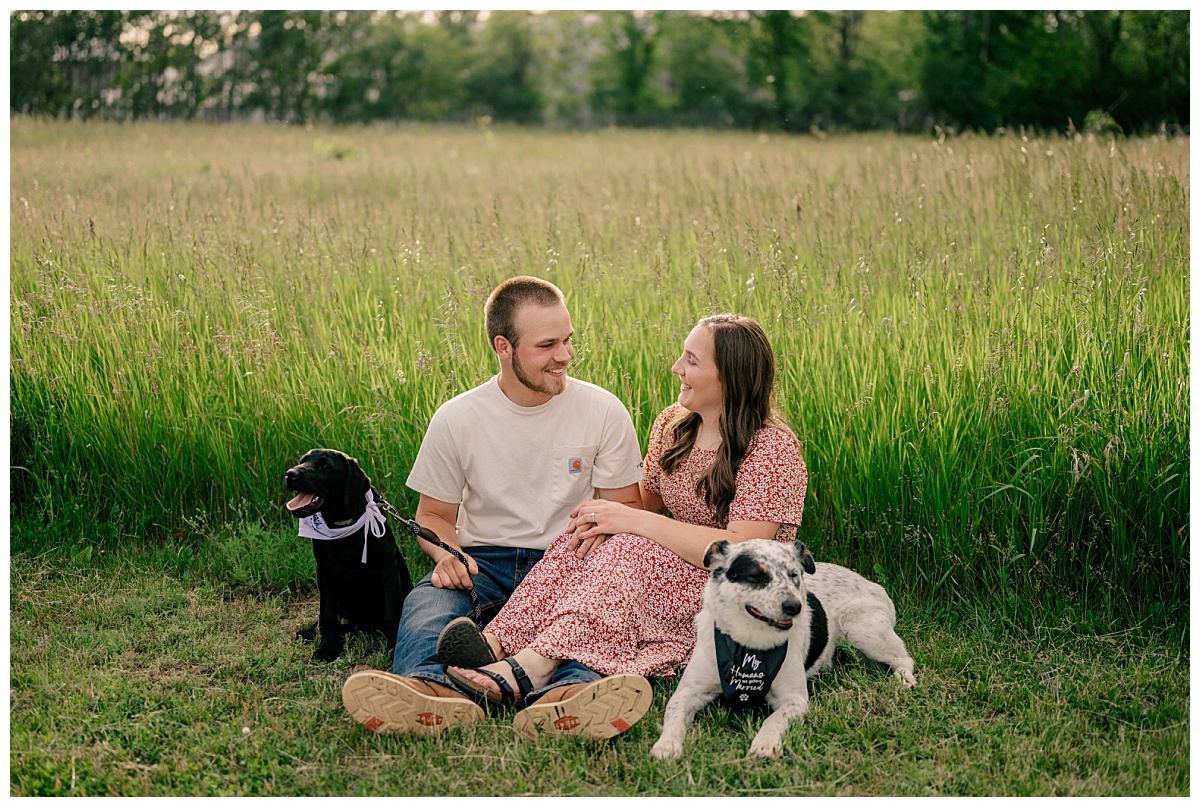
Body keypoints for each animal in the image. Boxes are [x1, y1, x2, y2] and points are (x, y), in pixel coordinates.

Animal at [283, 446, 415, 662]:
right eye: (303, 460)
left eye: (325, 465)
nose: (290, 474)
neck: (342, 525)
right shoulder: (324, 573)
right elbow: (327, 614)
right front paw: (328, 647)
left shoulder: (388, 569)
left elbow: (392, 614)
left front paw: (394, 648)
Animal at [652, 538, 912, 758]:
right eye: (756, 576)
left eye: (793, 574)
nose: (794, 606)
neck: (750, 646)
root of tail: (874, 584)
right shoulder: (687, 692)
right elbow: (673, 715)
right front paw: (667, 745)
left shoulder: (795, 701)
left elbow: (773, 719)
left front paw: (764, 743)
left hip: (858, 627)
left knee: (905, 659)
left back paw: (904, 679)